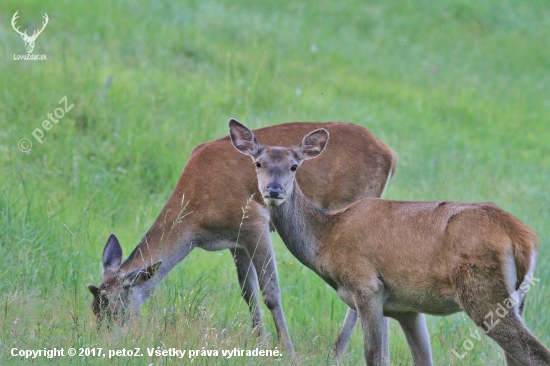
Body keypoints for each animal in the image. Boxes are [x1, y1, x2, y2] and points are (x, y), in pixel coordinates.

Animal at [86, 121, 398, 356]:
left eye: (114, 310)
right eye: (94, 309)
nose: (103, 343)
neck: (195, 221)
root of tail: (391, 155)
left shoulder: (253, 222)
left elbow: (270, 292)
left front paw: (287, 351)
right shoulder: (234, 241)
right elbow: (248, 293)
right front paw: (260, 343)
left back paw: (337, 351)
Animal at [231, 119, 550, 366]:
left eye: (294, 166)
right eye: (258, 163)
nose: (273, 190)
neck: (326, 240)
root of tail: (524, 238)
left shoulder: (367, 285)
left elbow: (373, 355)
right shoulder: (404, 308)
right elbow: (421, 358)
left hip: (483, 291)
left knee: (535, 354)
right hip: (516, 299)